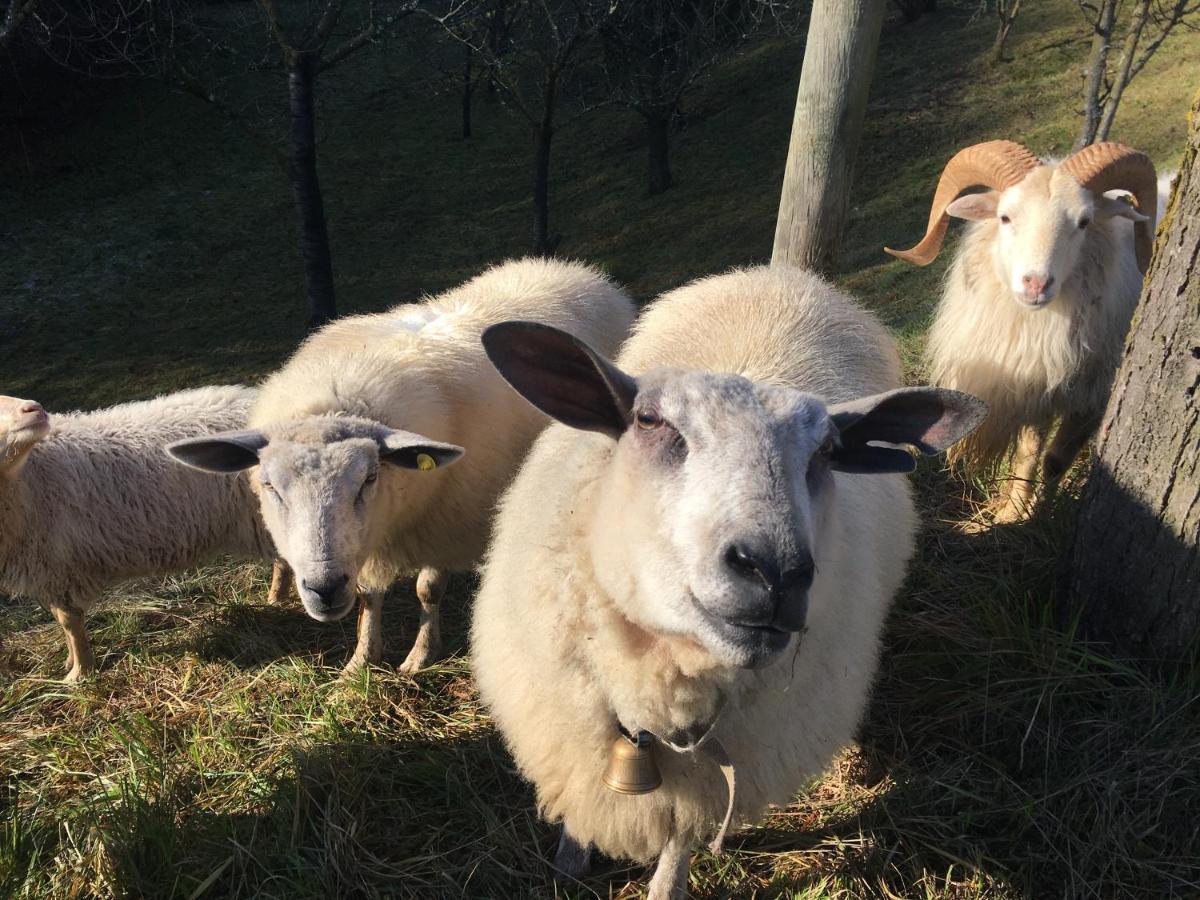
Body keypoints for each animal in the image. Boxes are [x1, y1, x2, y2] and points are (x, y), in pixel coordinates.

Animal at [0, 388, 289, 681]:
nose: (35, 408)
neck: (25, 479)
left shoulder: (58, 567)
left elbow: (69, 623)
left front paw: (80, 673)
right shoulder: (48, 570)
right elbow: (64, 624)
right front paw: (71, 663)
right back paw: (275, 600)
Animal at [171, 256, 638, 672]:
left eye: (369, 478)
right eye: (270, 486)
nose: (324, 588)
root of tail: (567, 267)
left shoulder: (448, 522)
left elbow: (427, 590)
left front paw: (419, 656)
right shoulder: (370, 541)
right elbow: (368, 595)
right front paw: (361, 660)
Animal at [468, 266, 984, 900]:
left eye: (828, 451)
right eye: (647, 420)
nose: (777, 573)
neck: (656, 703)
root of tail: (783, 275)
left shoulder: (706, 783)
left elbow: (676, 851)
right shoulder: (570, 732)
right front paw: (571, 854)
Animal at [888, 139, 1156, 520]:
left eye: (1084, 222)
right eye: (1005, 216)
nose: (1036, 284)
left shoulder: (1092, 397)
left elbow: (1055, 460)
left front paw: (1040, 513)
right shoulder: (1034, 385)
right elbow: (1028, 455)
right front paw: (1012, 513)